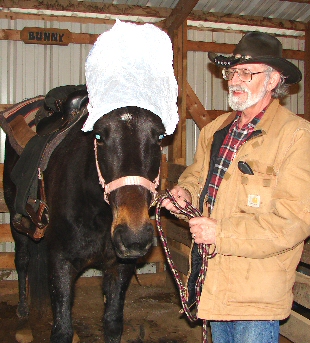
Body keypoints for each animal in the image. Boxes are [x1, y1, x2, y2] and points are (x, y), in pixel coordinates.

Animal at [2, 90, 166, 342]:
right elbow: (62, 330)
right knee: (22, 260)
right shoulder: (60, 262)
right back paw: (22, 310)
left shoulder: (119, 267)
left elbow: (112, 323)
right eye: (99, 136)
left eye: (159, 137)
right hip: (16, 219)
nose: (134, 237)